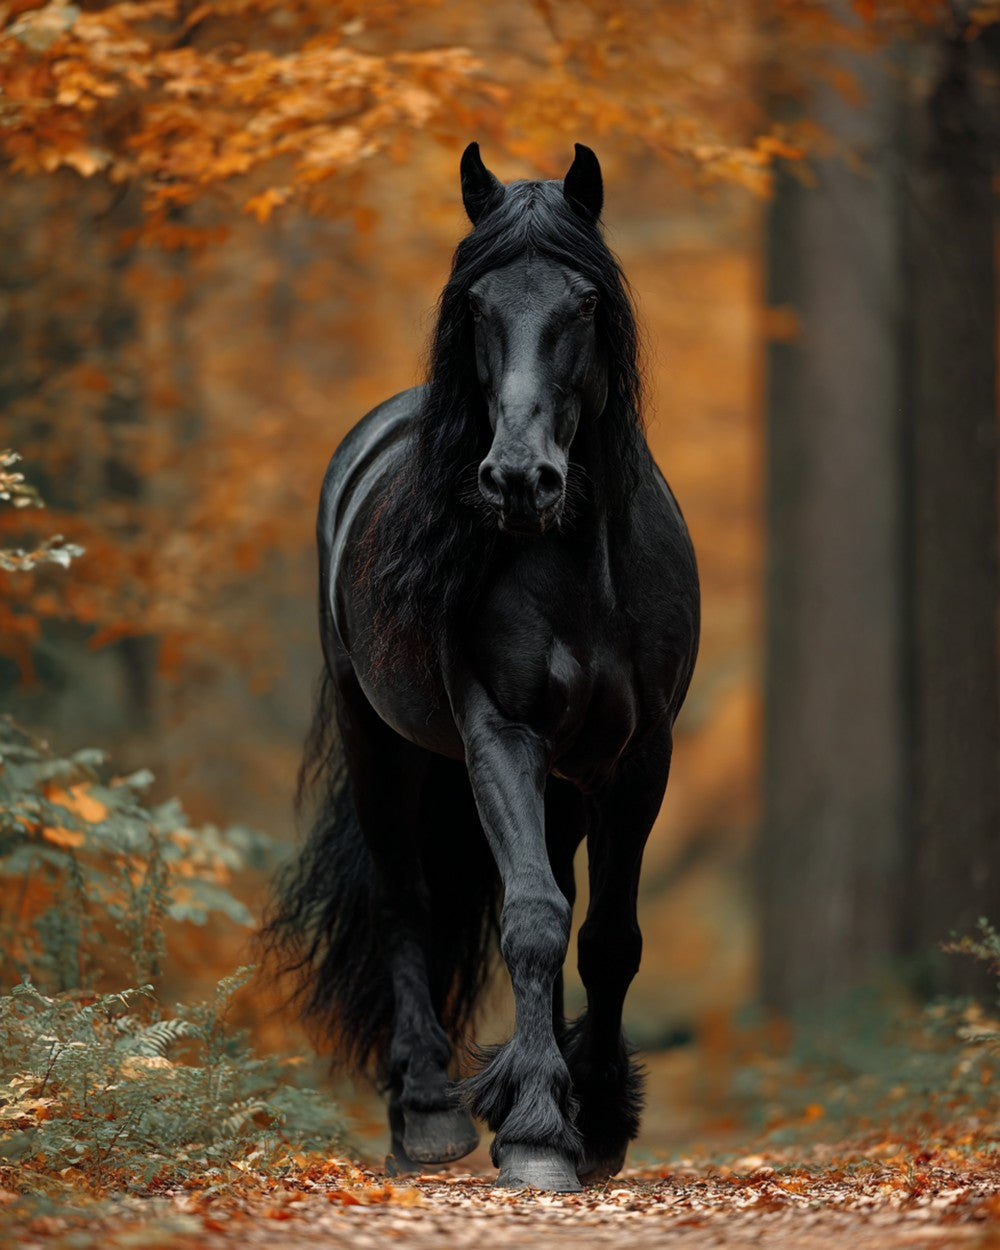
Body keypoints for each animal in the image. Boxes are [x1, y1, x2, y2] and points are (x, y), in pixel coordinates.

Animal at [264, 143, 700, 1193]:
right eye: (475, 306)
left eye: (584, 302)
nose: (518, 479)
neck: (579, 567)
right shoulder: (501, 734)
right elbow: (533, 919)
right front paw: (538, 1131)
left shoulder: (640, 757)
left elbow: (608, 937)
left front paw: (597, 1122)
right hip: (380, 745)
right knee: (407, 903)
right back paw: (427, 1112)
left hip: (566, 783)